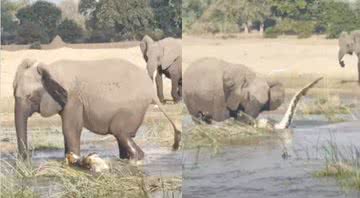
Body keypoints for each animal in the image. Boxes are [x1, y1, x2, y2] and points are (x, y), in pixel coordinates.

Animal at [12, 58, 181, 161]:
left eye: (29, 96)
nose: (25, 158)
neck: (49, 68)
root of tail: (151, 93)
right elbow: (68, 130)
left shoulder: (73, 99)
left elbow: (70, 129)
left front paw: (74, 160)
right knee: (122, 136)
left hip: (132, 108)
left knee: (120, 132)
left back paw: (136, 158)